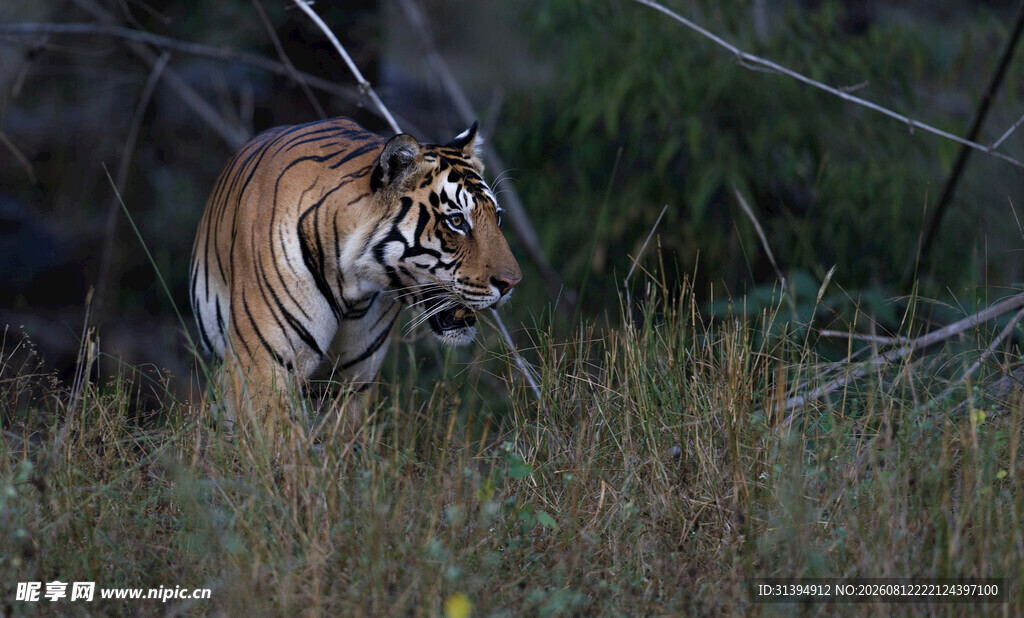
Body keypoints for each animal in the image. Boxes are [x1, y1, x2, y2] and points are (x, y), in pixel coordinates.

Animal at [189, 117, 521, 433]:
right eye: (456, 221)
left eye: (497, 217)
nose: (512, 283)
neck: (352, 284)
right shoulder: (262, 367)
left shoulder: (353, 379)